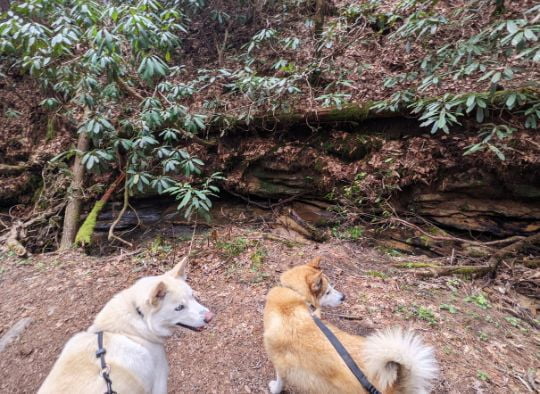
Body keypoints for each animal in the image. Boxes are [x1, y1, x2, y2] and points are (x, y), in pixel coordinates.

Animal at [262, 258, 438, 392]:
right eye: (328, 291)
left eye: (331, 287)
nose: (343, 297)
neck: (294, 294)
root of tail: (396, 382)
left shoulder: (279, 363)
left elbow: (280, 381)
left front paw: (274, 388)